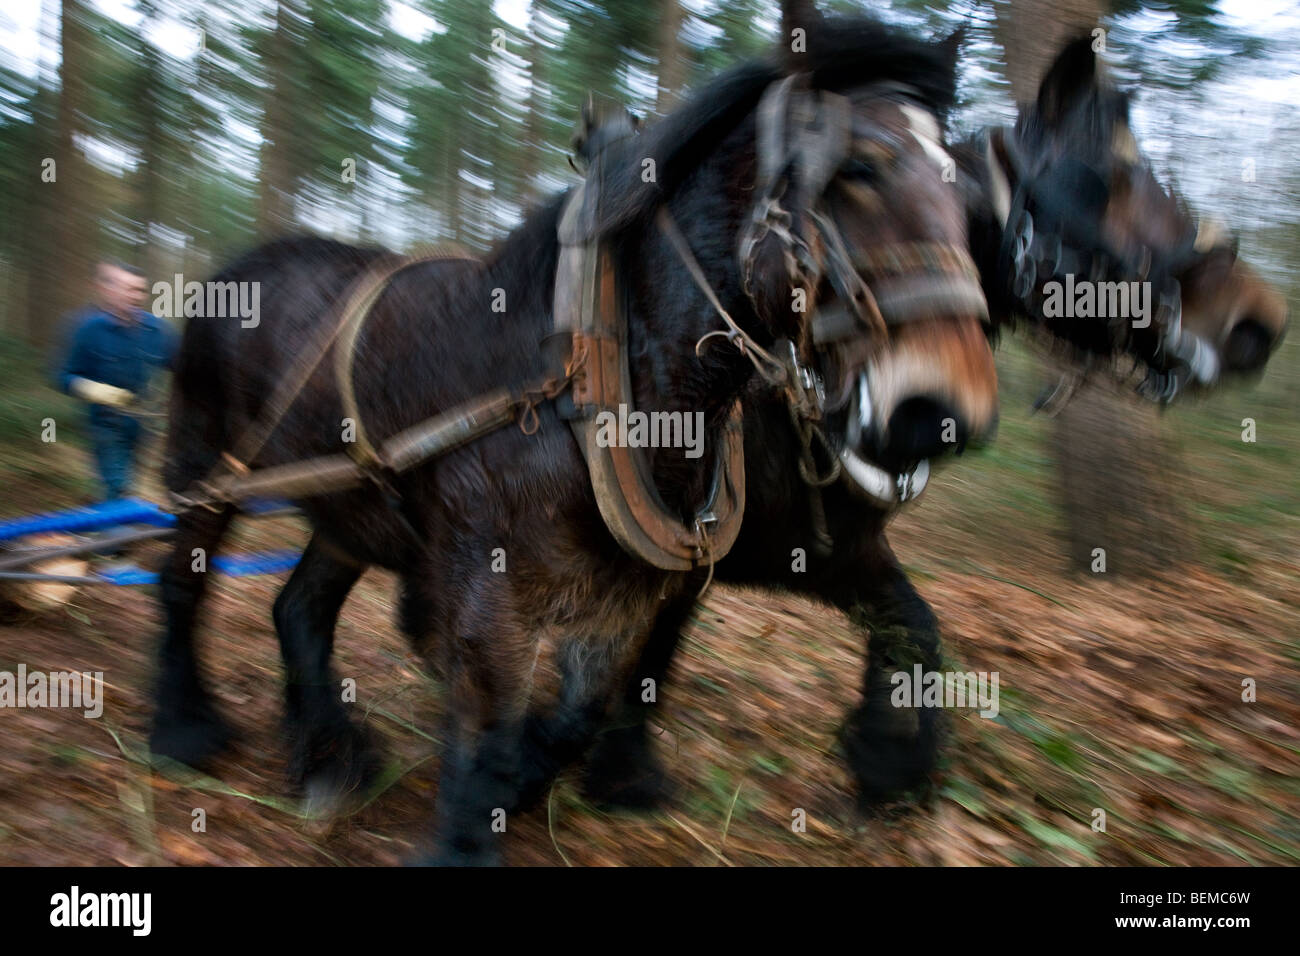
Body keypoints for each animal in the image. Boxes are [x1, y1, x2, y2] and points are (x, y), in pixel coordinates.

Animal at [150, 18, 998, 864]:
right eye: (859, 167)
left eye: (967, 193)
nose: (944, 410)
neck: (594, 380)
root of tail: (238, 265)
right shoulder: (490, 595)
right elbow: (488, 727)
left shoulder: (634, 597)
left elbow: (578, 713)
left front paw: (543, 780)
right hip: (205, 467)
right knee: (183, 581)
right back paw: (185, 728)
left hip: (353, 509)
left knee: (299, 608)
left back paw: (330, 755)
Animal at [579, 30, 1288, 812]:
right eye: (1106, 180)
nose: (1258, 321)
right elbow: (653, 644)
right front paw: (621, 769)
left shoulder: (833, 550)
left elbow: (916, 625)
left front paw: (889, 764)